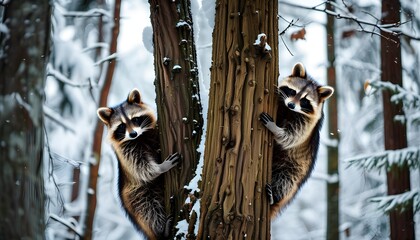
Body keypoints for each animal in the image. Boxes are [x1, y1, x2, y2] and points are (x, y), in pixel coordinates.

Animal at [97, 88, 179, 240]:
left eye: (135, 119)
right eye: (122, 126)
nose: (133, 134)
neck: (140, 137)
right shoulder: (126, 152)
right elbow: (141, 167)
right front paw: (161, 167)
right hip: (137, 196)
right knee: (150, 210)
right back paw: (161, 231)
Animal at [260, 62, 334, 218]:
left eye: (305, 100)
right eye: (293, 92)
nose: (291, 105)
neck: (288, 111)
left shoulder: (307, 125)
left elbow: (292, 136)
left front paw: (275, 128)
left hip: (293, 169)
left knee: (284, 181)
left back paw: (274, 197)